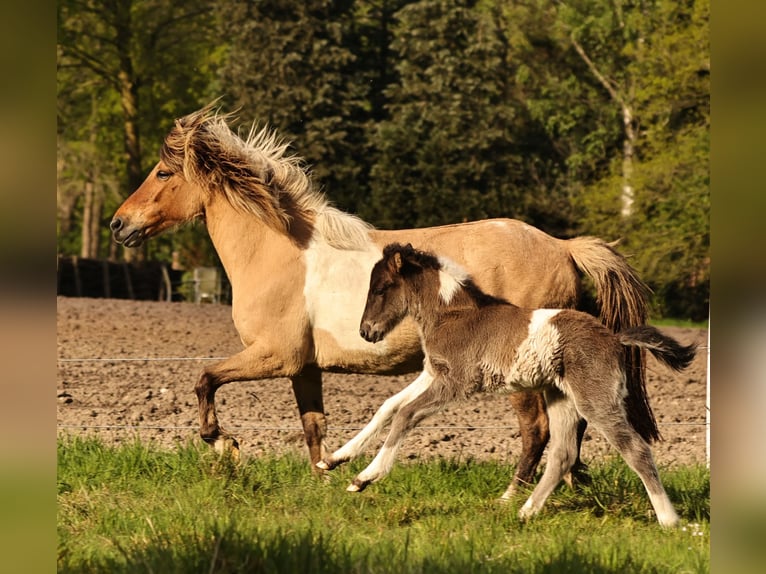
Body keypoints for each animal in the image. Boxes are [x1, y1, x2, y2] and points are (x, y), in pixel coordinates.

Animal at [110, 103, 652, 492]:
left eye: (163, 173)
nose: (118, 224)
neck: (278, 252)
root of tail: (562, 246)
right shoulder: (304, 367)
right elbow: (313, 426)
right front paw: (326, 475)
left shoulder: (274, 355)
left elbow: (205, 379)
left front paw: (226, 446)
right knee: (572, 429)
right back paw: (570, 487)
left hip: (518, 370)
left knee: (538, 429)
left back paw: (514, 495)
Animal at [318, 243, 695, 527]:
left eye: (381, 288)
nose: (367, 332)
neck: (454, 315)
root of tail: (614, 338)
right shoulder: (433, 372)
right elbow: (387, 407)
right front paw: (334, 459)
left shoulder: (457, 381)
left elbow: (405, 414)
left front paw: (365, 477)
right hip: (561, 397)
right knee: (563, 453)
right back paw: (525, 512)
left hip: (595, 399)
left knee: (636, 450)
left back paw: (671, 521)